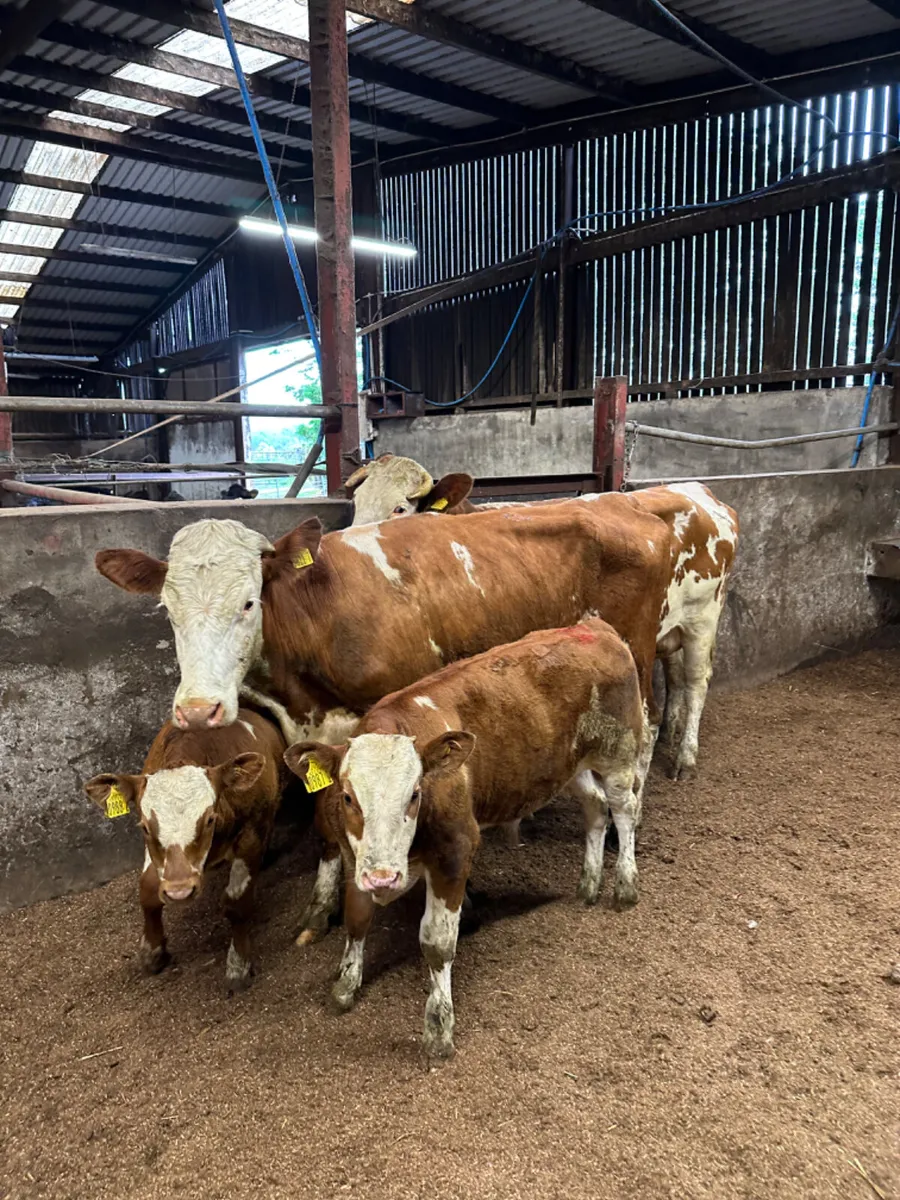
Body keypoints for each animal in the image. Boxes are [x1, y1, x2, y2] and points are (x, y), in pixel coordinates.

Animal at [83, 707, 287, 991]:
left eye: (209, 819)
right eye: (144, 827)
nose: (179, 891)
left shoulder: (252, 831)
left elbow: (237, 902)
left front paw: (238, 965)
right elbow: (148, 888)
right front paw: (152, 952)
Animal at [284, 618, 643, 1057]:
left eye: (415, 793)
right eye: (348, 797)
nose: (385, 878)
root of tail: (593, 626)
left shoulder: (455, 852)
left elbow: (437, 942)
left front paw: (439, 1028)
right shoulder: (357, 860)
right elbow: (356, 919)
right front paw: (345, 985)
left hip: (619, 752)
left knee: (624, 810)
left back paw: (625, 885)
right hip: (569, 766)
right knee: (595, 808)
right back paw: (589, 884)